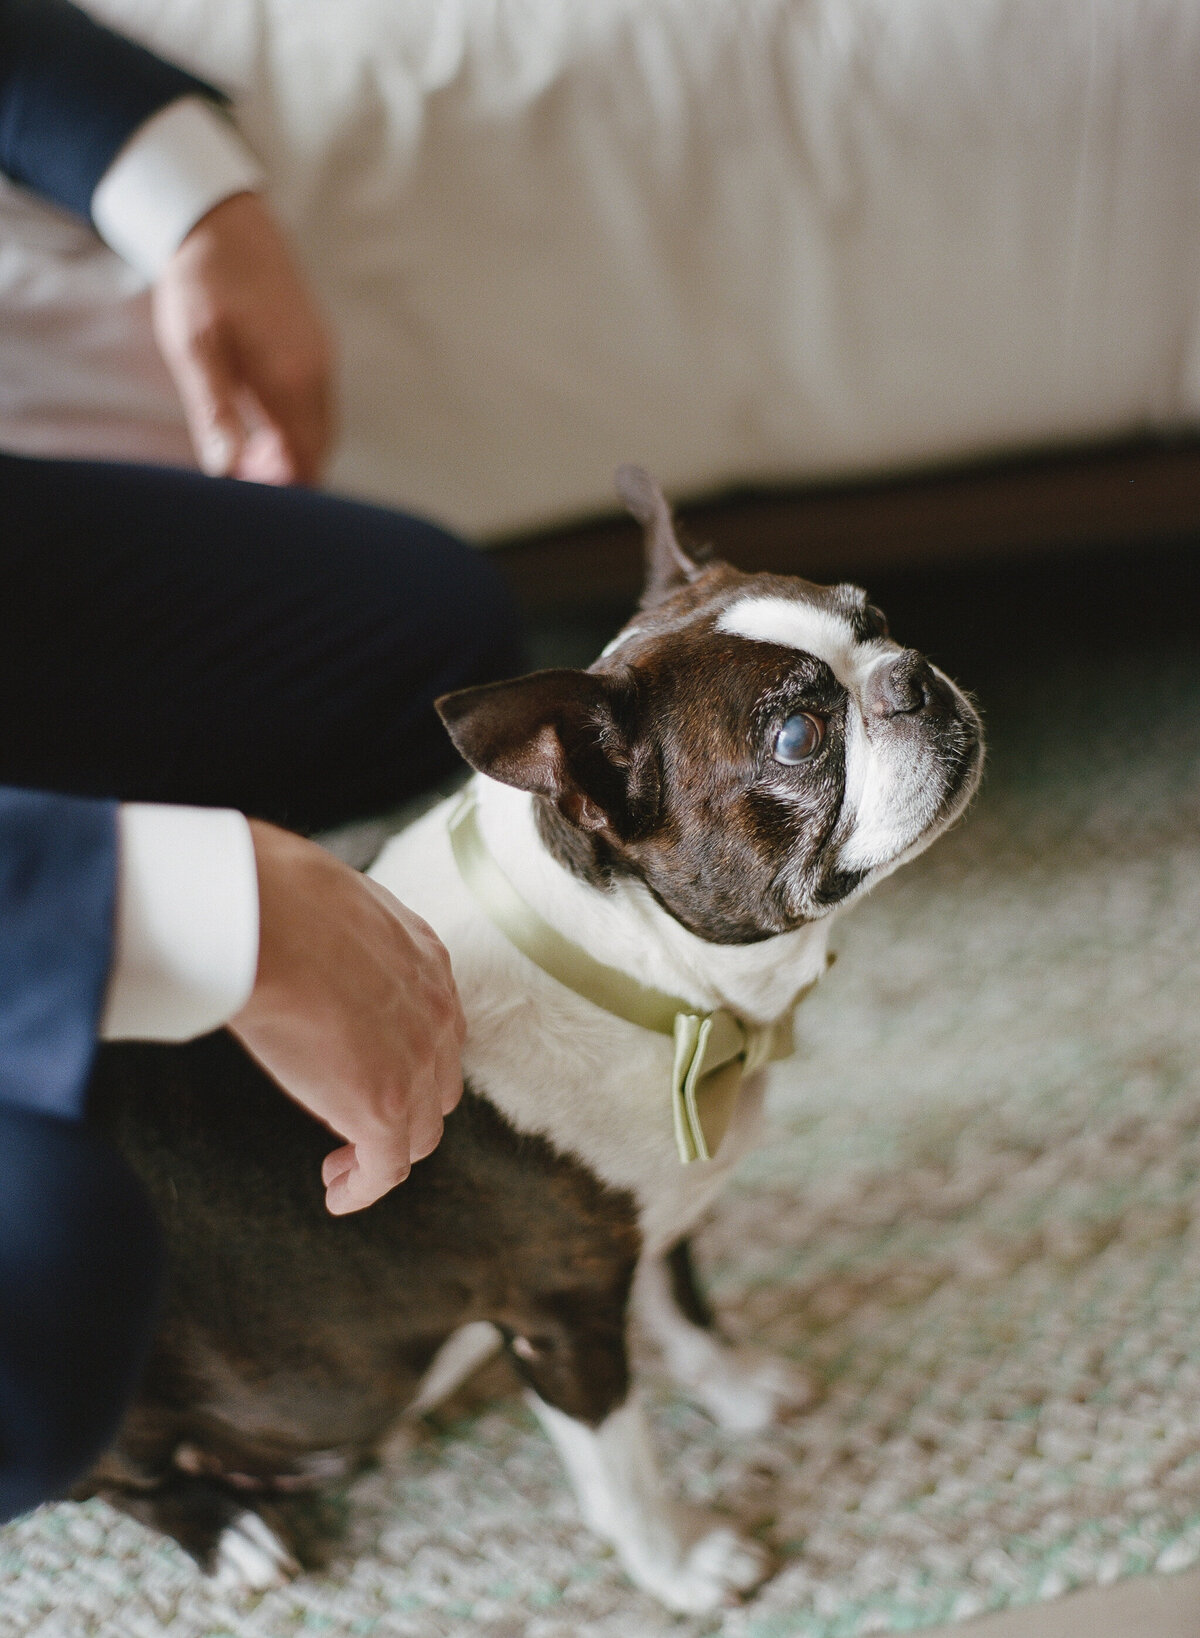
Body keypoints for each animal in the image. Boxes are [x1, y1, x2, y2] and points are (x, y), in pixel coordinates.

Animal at [84, 471, 982, 1611]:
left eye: (878, 621)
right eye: (797, 738)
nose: (912, 676)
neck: (651, 983)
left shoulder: (646, 1226)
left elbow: (685, 1308)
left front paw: (736, 1390)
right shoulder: (560, 1317)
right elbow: (621, 1461)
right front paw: (681, 1563)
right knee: (126, 1482)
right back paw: (228, 1532)